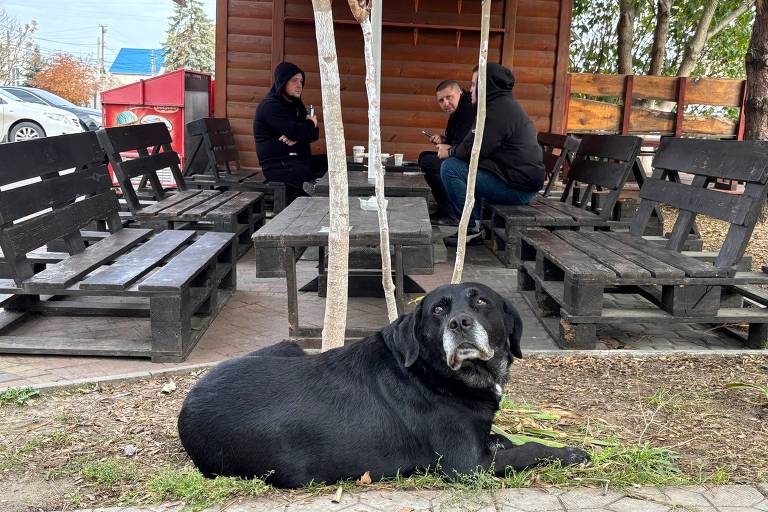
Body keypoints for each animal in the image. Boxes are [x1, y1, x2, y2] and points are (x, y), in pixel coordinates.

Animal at [178, 282, 588, 486]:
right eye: (438, 310)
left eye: (482, 302)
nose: (459, 323)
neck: (433, 373)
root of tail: (186, 410)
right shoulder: (467, 465)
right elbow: (530, 449)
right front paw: (570, 452)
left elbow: (505, 440)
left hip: (287, 346)